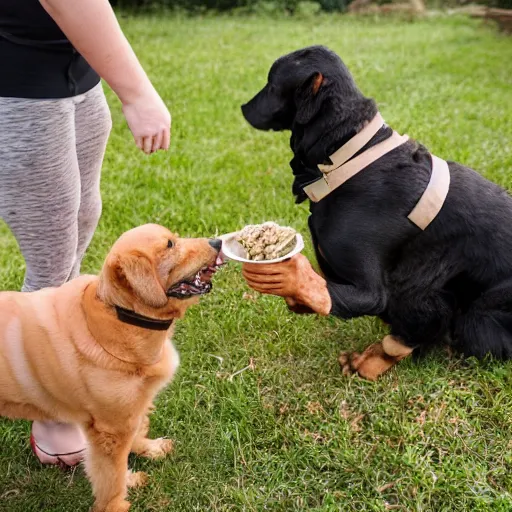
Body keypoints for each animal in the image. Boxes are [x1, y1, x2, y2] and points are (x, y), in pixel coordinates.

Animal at [0, 224, 224, 512]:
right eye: (170, 245)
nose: (217, 242)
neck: (119, 315)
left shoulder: (131, 410)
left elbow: (132, 443)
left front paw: (148, 452)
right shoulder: (110, 429)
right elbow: (111, 478)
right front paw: (117, 503)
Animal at [242, 46, 512, 378]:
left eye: (271, 84)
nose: (243, 106)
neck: (347, 158)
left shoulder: (377, 288)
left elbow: (339, 296)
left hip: (479, 319)